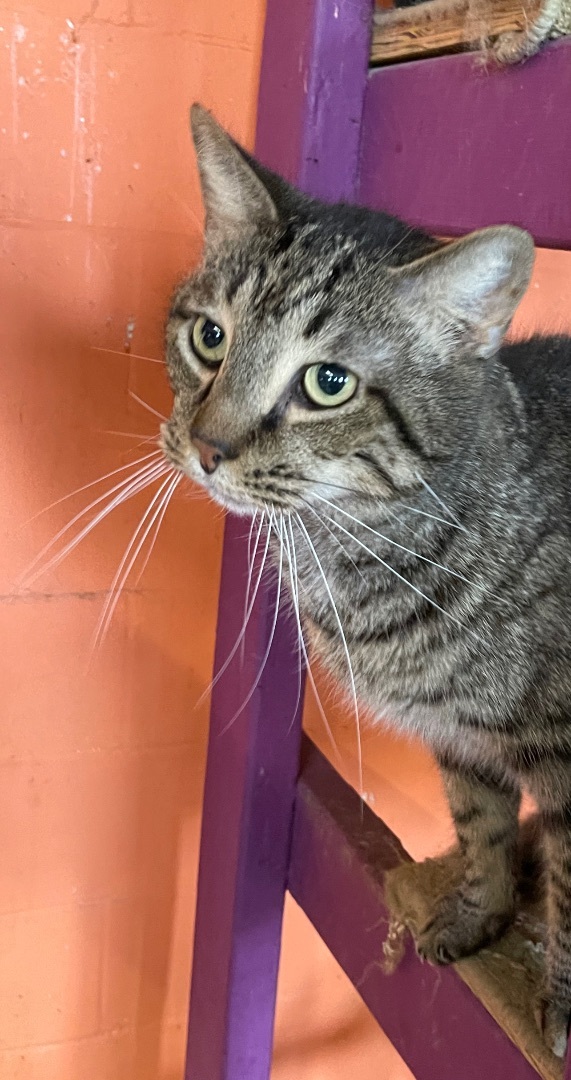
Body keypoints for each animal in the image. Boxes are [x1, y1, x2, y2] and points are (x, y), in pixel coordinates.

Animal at [157, 107, 569, 1054]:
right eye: (209, 337)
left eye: (328, 383)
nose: (206, 447)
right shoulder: (460, 739)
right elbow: (482, 829)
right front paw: (479, 916)